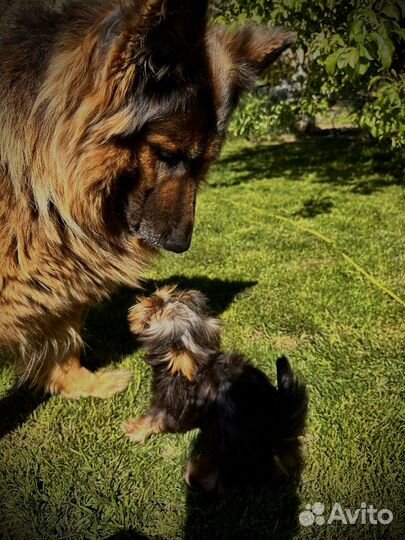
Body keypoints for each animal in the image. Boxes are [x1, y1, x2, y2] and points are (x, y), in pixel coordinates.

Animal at [123, 286, 306, 494]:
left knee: (216, 476)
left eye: (156, 311)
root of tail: (276, 425)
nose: (157, 296)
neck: (197, 356)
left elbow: (154, 419)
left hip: (229, 445)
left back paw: (194, 473)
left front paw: (134, 431)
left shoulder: (169, 403)